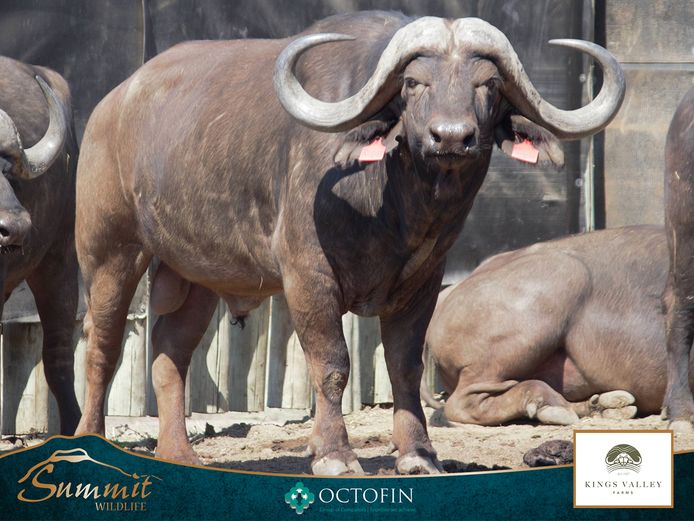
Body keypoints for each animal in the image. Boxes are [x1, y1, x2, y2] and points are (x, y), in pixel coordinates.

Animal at [74, 11, 624, 474]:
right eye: (413, 83)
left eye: (488, 84)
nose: (451, 137)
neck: (396, 205)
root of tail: (109, 107)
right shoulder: (308, 278)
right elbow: (332, 364)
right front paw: (335, 455)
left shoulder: (423, 284)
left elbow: (406, 367)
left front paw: (419, 454)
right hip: (109, 252)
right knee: (103, 345)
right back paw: (89, 439)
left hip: (196, 273)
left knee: (170, 351)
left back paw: (180, 453)